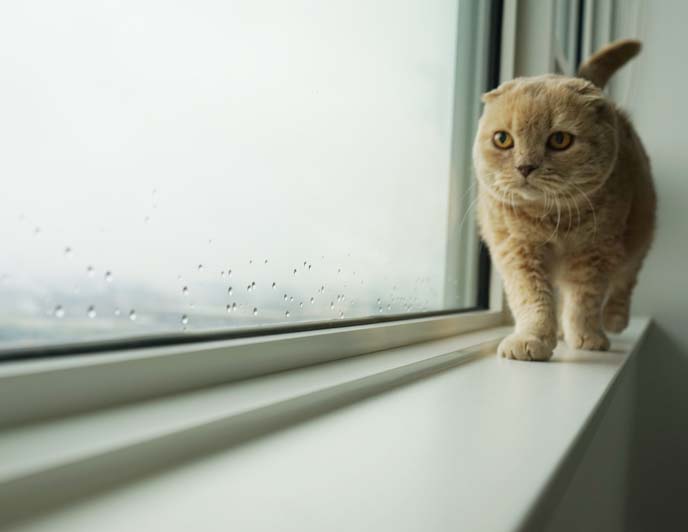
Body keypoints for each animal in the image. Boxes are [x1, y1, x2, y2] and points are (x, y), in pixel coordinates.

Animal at [472, 39, 656, 360]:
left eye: (559, 140)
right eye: (503, 139)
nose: (525, 167)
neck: (552, 218)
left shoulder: (596, 254)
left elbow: (584, 302)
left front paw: (587, 337)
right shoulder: (518, 252)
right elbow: (533, 301)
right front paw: (533, 338)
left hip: (639, 235)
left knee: (625, 282)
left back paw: (613, 320)